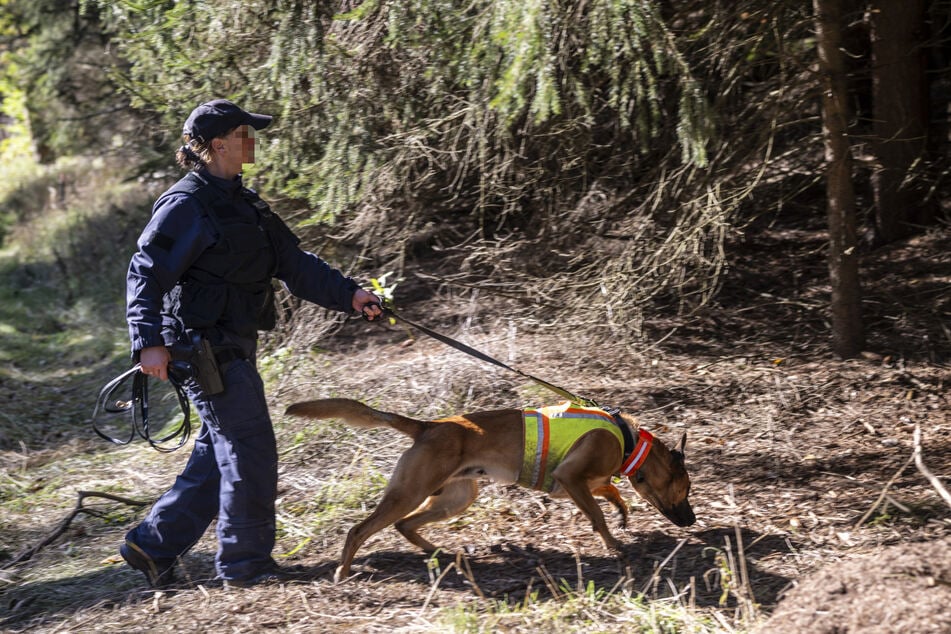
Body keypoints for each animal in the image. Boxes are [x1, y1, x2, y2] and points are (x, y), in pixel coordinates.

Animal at [286, 398, 696, 580]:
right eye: (686, 489)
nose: (692, 520)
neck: (628, 442)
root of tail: (427, 426)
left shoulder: (572, 486)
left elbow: (611, 493)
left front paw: (622, 514)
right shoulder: (571, 479)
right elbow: (597, 513)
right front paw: (614, 545)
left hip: (457, 498)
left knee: (406, 525)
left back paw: (441, 554)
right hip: (411, 494)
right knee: (359, 530)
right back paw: (343, 572)